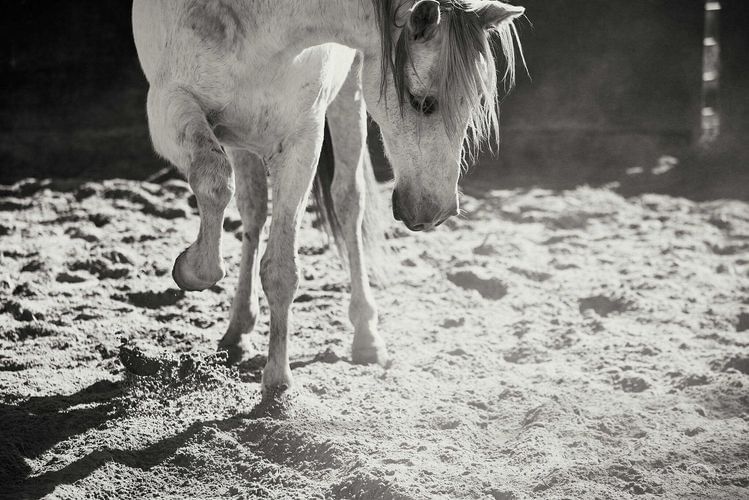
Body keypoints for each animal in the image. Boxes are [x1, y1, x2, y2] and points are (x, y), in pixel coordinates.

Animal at [132, 0, 524, 398]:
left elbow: (281, 270)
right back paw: (239, 326)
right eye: (421, 102)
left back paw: (365, 336)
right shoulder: (169, 107)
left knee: (346, 202)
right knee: (251, 207)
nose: (436, 211)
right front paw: (190, 269)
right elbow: (213, 180)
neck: (262, 22)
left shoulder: (303, 138)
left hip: (348, 93)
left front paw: (277, 380)